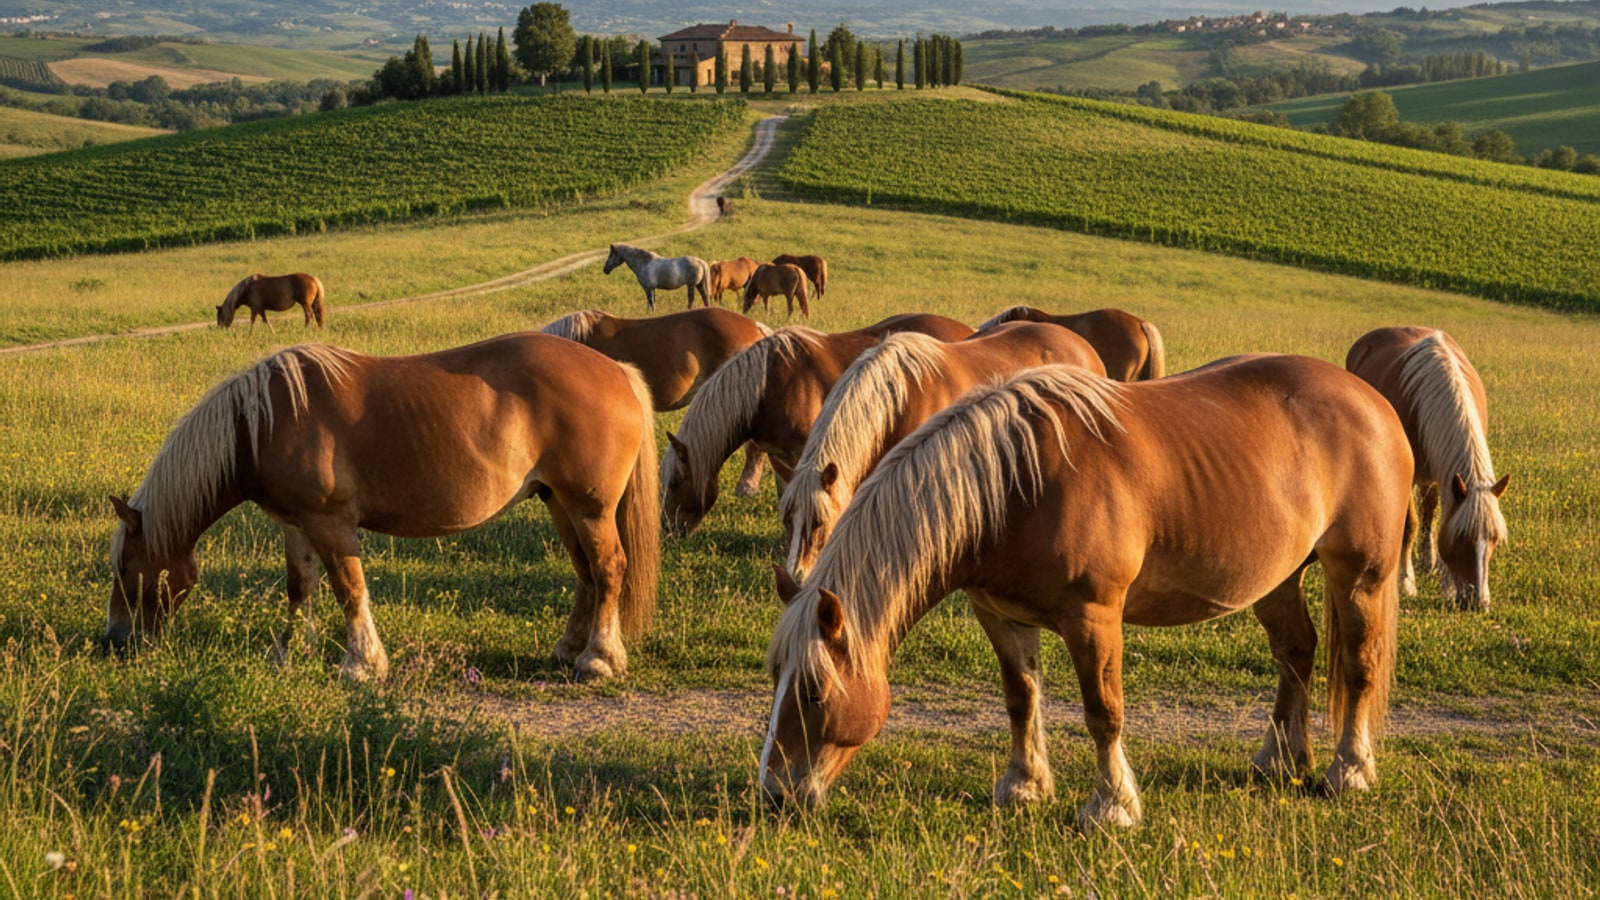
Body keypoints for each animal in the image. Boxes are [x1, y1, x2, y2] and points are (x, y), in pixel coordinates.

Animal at [105, 333, 660, 683]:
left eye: (127, 568)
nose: (116, 640)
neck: (263, 423)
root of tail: (617, 371)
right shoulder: (296, 525)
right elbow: (299, 587)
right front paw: (290, 652)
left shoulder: (330, 523)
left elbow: (349, 590)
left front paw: (361, 665)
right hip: (558, 503)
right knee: (586, 574)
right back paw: (569, 650)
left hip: (589, 508)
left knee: (609, 569)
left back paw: (598, 660)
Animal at [762, 356, 1412, 829]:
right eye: (776, 680)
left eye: (814, 693)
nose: (773, 794)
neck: (1016, 486)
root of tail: (1373, 401)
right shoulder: (1001, 617)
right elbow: (1021, 700)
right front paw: (1024, 787)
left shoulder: (1094, 619)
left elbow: (1103, 713)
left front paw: (1111, 808)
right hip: (1279, 579)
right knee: (1295, 653)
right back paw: (1279, 760)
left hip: (1360, 575)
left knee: (1358, 665)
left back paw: (1349, 771)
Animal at [1346, 326, 1508, 610]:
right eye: (1461, 538)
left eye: (1494, 538)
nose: (1477, 603)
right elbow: (1409, 525)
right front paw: (1406, 582)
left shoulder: (1444, 478)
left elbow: (1434, 515)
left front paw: (1443, 582)